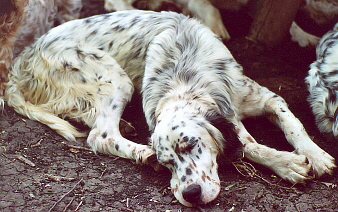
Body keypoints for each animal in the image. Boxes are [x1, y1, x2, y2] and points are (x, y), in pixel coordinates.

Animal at [5, 10, 336, 207]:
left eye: (190, 145)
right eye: (167, 162)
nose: (190, 195)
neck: (185, 76)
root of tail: (24, 56)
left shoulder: (266, 97)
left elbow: (294, 126)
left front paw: (316, 155)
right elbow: (249, 144)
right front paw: (287, 162)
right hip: (114, 77)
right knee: (100, 135)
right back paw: (140, 150)